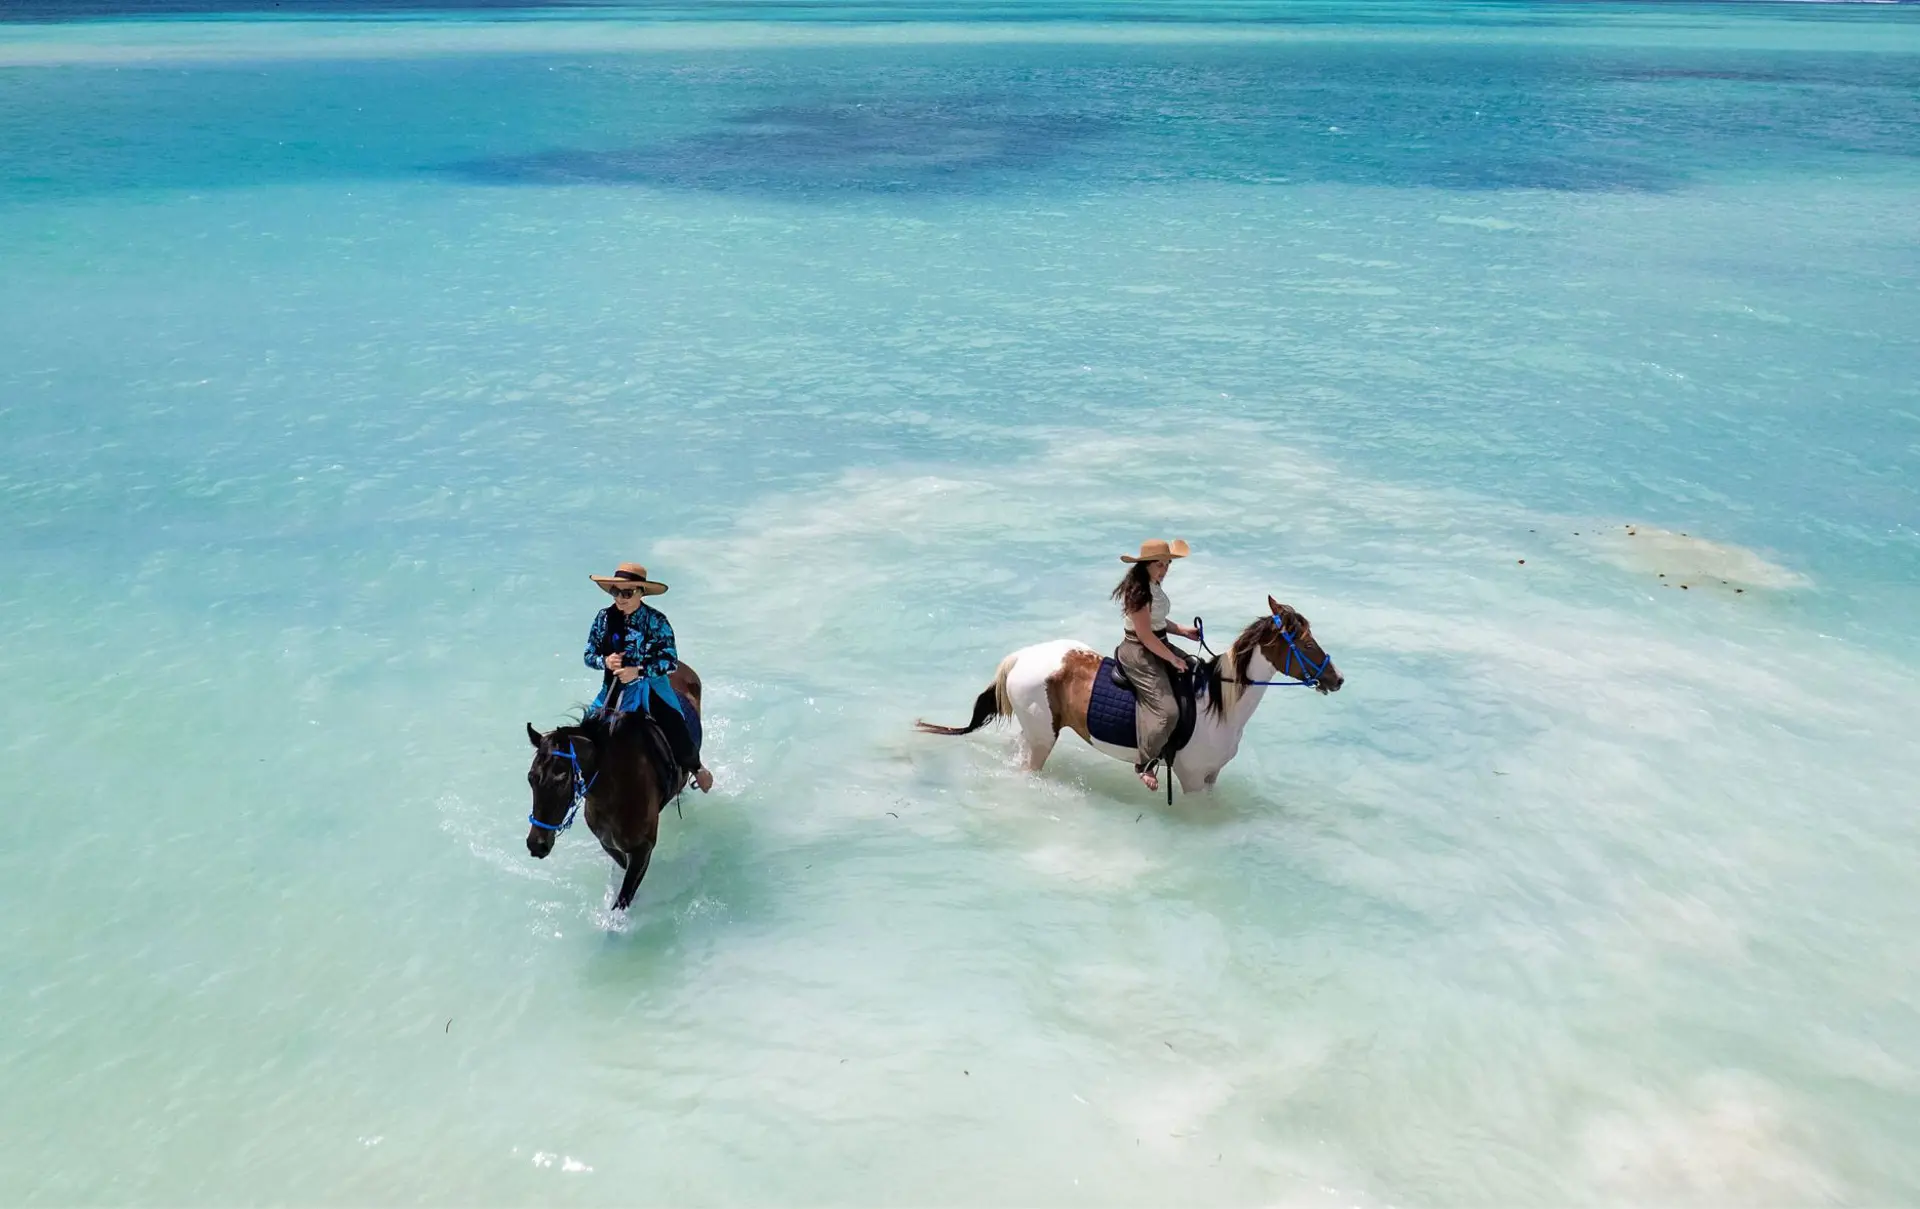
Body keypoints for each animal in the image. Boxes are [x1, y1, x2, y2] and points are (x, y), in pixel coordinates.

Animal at [524, 664, 704, 912]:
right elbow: (621, 869)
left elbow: (623, 898)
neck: (614, 790)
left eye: (561, 779)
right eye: (531, 778)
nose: (536, 844)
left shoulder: (642, 849)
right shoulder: (609, 843)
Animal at [916, 596, 1342, 795]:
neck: (1218, 707)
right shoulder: (1191, 778)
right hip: (1041, 740)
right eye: (1305, 642)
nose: (1336, 679)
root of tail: (1020, 656)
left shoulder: (1211, 777)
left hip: (1031, 732)